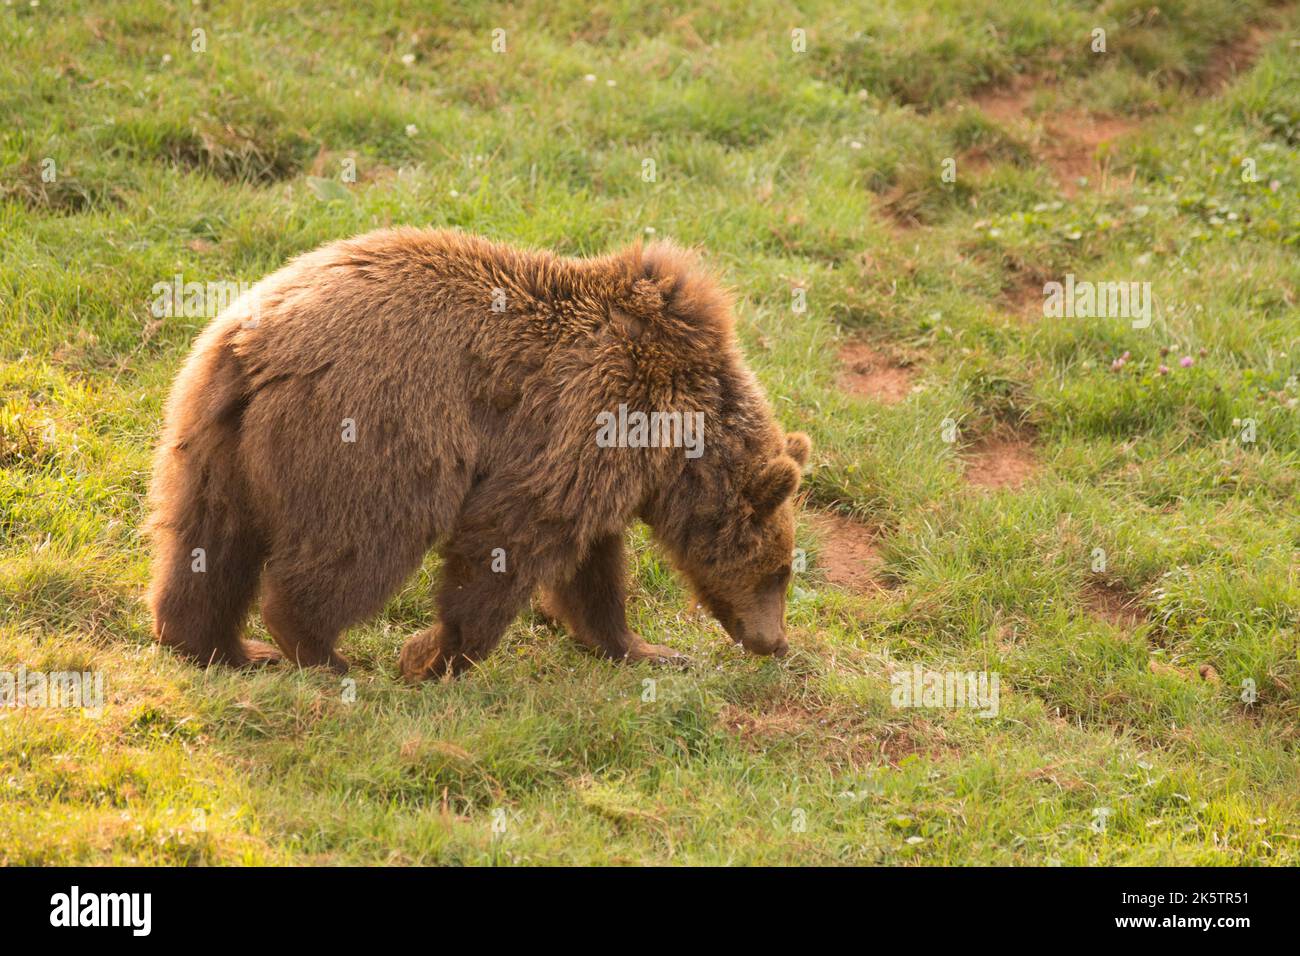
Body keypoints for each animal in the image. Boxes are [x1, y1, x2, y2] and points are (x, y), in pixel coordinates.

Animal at [145, 227, 812, 682]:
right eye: (779, 571)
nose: (774, 642)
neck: (676, 441)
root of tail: (254, 342)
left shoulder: (600, 463)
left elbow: (591, 569)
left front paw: (646, 648)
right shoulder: (594, 417)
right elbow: (509, 538)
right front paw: (432, 656)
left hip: (209, 433)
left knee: (206, 541)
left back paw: (220, 647)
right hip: (374, 431)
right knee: (362, 542)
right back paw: (323, 653)